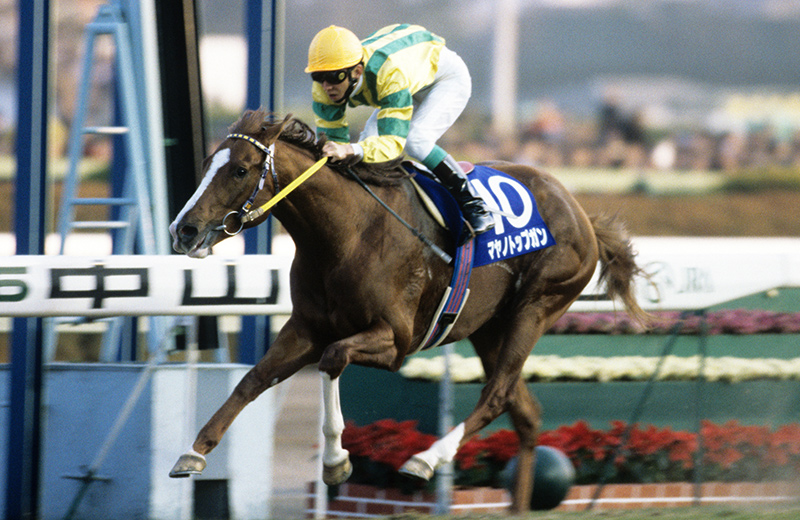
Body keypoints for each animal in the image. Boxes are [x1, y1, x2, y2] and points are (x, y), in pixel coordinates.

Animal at [168, 108, 651, 512]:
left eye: (240, 169)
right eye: (208, 162)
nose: (183, 230)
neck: (347, 234)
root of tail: (581, 212)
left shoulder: (395, 340)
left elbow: (333, 359)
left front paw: (336, 462)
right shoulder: (306, 328)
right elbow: (252, 380)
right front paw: (193, 452)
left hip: (536, 307)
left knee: (497, 394)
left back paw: (424, 460)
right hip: (489, 327)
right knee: (525, 413)